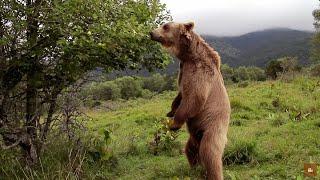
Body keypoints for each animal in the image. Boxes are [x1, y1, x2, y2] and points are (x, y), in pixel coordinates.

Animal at [150, 21, 230, 179]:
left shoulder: (199, 73)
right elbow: (180, 94)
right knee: (190, 150)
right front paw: (170, 111)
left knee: (210, 151)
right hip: (195, 135)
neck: (189, 56)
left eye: (165, 26)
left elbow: (194, 98)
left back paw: (213, 173)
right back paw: (194, 168)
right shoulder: (183, 71)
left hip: (213, 125)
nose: (151, 32)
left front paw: (173, 123)